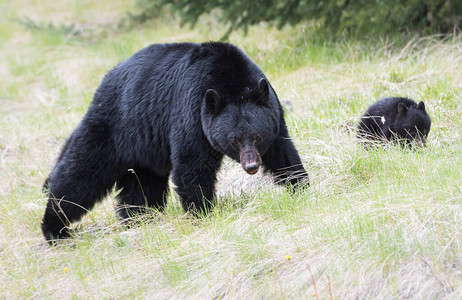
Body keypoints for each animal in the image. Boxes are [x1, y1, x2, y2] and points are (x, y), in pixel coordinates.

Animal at [41, 41, 308, 243]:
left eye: (256, 136)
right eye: (234, 139)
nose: (251, 166)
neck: (230, 79)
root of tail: (105, 80)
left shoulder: (272, 111)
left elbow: (282, 152)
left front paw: (301, 185)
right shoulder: (191, 112)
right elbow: (192, 166)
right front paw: (202, 213)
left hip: (144, 151)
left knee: (141, 188)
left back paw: (138, 219)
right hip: (113, 127)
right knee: (81, 173)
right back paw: (55, 228)